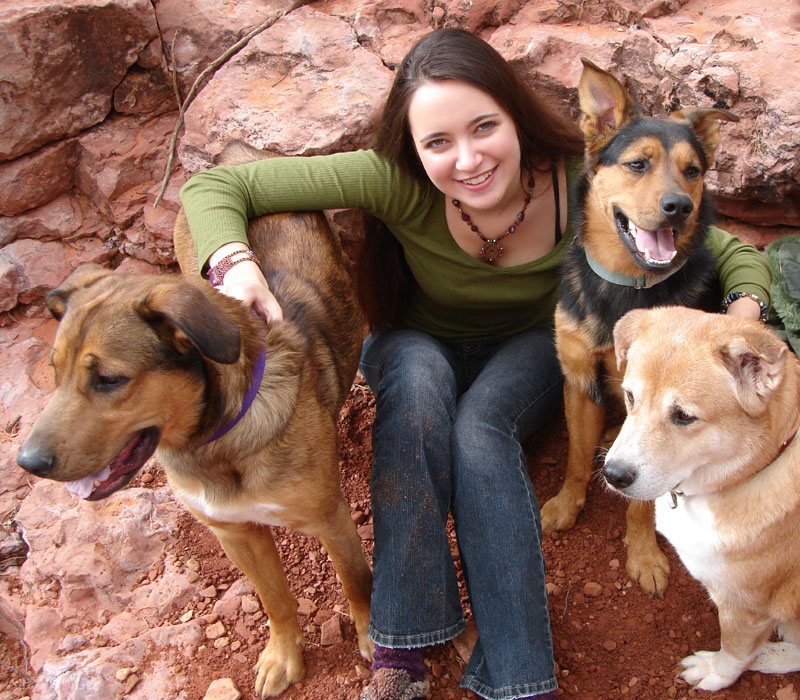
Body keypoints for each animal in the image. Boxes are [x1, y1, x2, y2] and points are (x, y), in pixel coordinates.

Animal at [15, 141, 372, 696]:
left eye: (109, 379)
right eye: (53, 372)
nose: (28, 463)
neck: (216, 443)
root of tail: (243, 160)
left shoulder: (330, 518)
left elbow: (358, 584)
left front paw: (377, 643)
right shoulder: (234, 532)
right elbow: (274, 599)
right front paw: (283, 656)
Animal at [536, 60, 736, 596]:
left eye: (693, 171)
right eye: (638, 165)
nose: (678, 206)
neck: (626, 285)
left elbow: (644, 497)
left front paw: (643, 553)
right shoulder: (579, 380)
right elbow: (576, 457)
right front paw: (566, 505)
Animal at [608, 308, 800, 692]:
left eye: (684, 416)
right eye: (630, 397)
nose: (613, 475)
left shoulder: (747, 607)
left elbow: (735, 650)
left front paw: (716, 673)